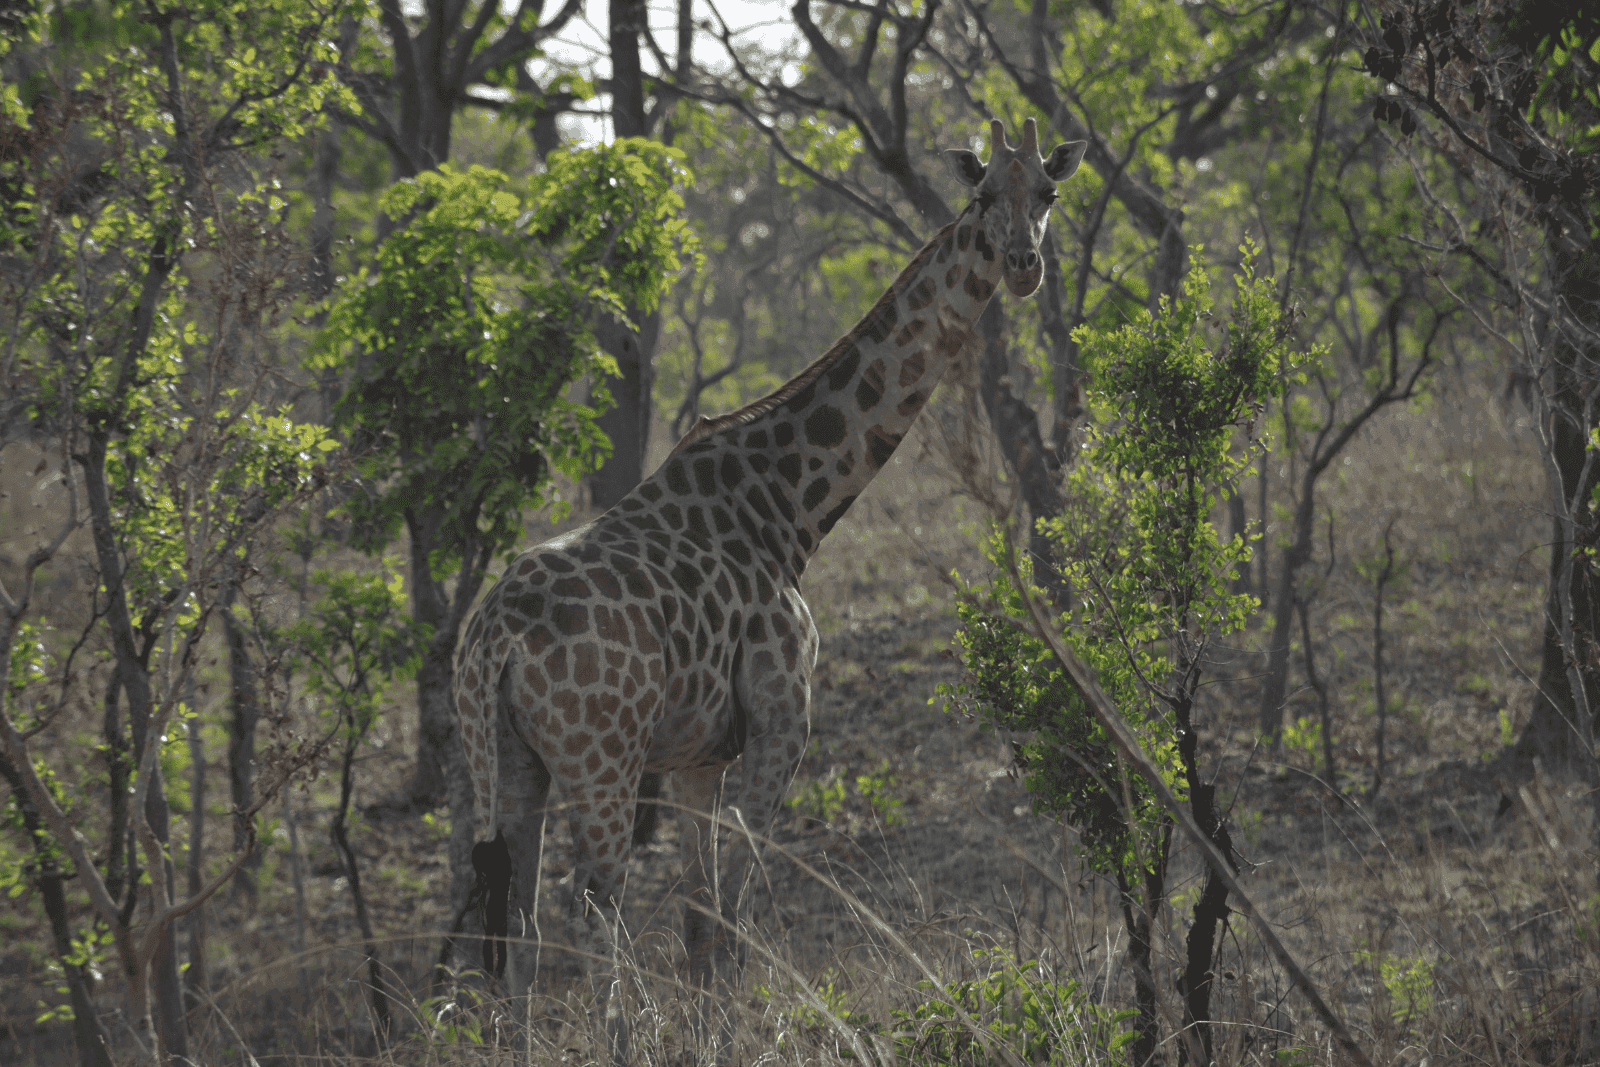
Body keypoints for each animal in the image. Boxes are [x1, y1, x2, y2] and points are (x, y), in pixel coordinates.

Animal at [453, 117, 1086, 1059]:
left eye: (1047, 191)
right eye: (980, 196)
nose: (1021, 264)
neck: (790, 504)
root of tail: (494, 637)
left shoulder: (696, 756)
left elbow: (700, 919)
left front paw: (708, 1037)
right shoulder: (782, 718)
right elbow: (738, 916)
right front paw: (727, 1037)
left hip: (503, 760)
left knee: (524, 918)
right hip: (601, 759)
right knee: (591, 901)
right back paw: (619, 1039)